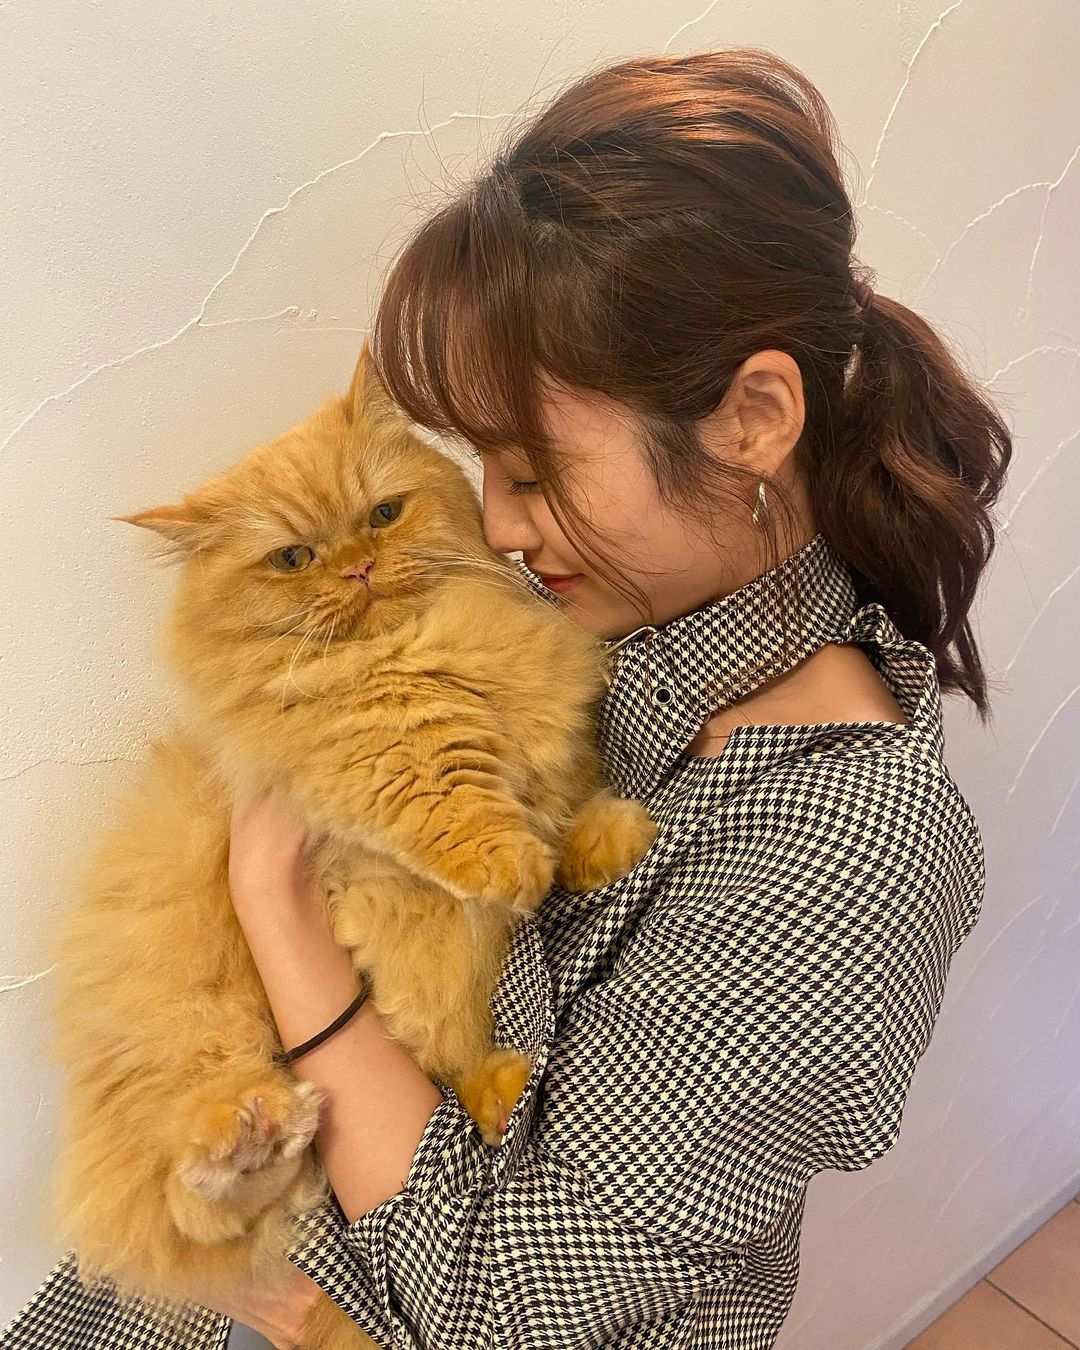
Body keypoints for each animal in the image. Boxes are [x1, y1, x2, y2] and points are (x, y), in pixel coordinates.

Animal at [44, 342, 658, 1349]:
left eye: (383, 515)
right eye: (294, 559)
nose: (359, 567)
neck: (426, 649)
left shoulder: (548, 752)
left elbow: (563, 809)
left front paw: (603, 840)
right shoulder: (369, 788)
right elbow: (451, 816)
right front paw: (512, 868)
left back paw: (494, 1095)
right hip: (206, 1038)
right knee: (203, 1205)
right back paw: (248, 1139)